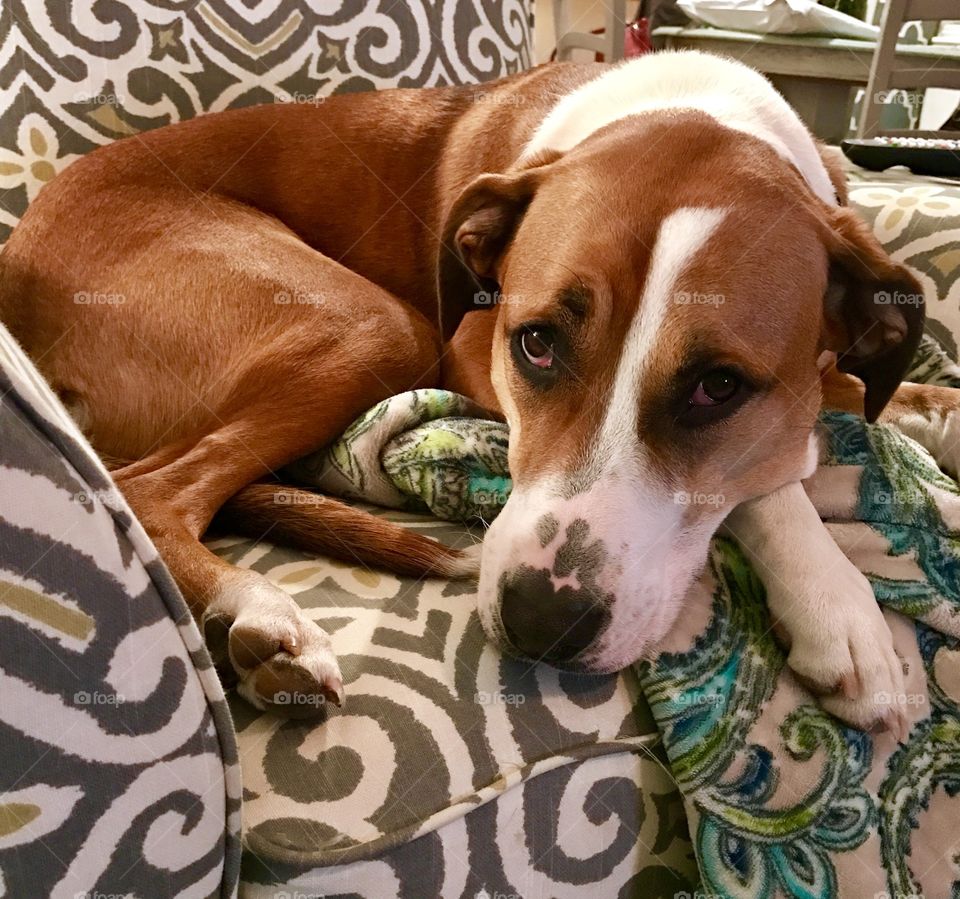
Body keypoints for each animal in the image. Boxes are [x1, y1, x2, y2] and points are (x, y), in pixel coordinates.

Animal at [3, 51, 956, 740]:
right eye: (534, 343)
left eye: (718, 387)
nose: (542, 622)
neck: (690, 109)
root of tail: (17, 257)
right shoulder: (466, 353)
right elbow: (775, 476)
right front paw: (840, 607)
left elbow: (864, 393)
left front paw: (926, 420)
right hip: (376, 324)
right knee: (153, 488)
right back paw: (265, 614)